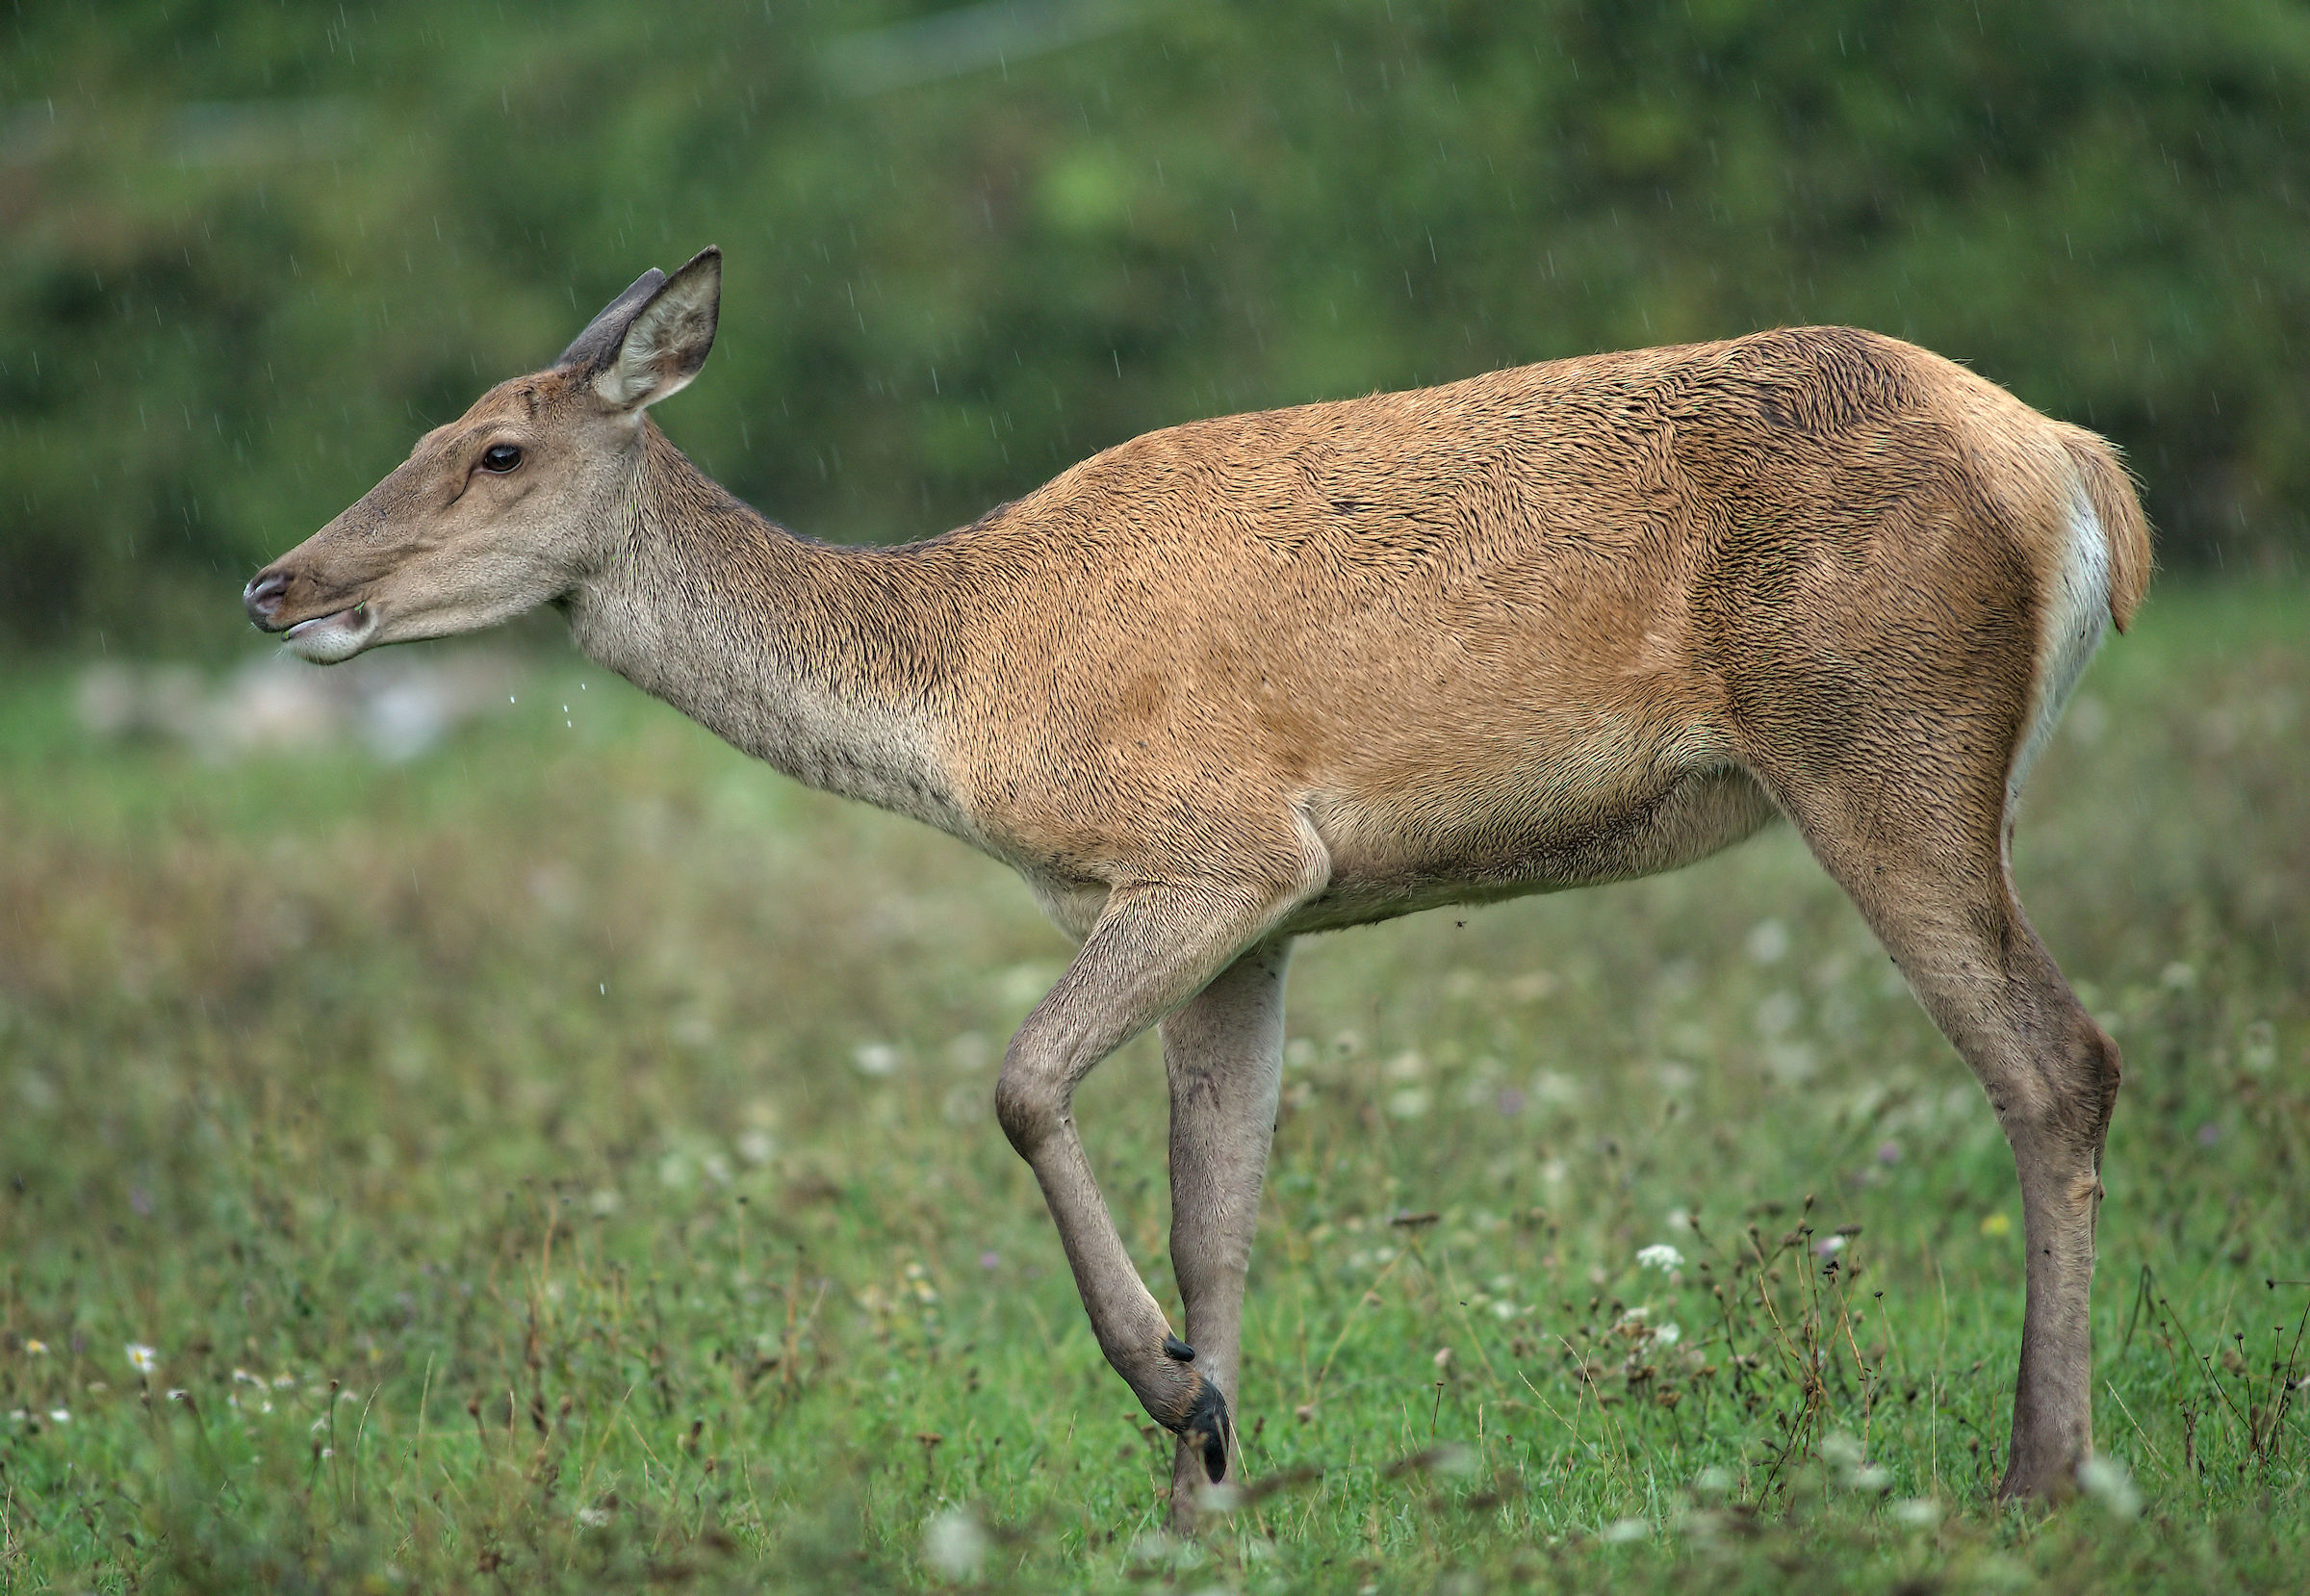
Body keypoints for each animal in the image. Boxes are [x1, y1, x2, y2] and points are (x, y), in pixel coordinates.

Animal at [244, 247, 2149, 1521]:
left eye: (498, 449)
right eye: (435, 425)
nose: (281, 583)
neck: (966, 688)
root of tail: (2075, 468)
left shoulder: (1214, 847)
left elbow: (1020, 1083)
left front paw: (1176, 1398)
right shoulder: (1269, 919)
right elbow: (1216, 1208)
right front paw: (1204, 1483)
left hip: (1881, 736)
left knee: (2058, 1057)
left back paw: (2036, 1476)